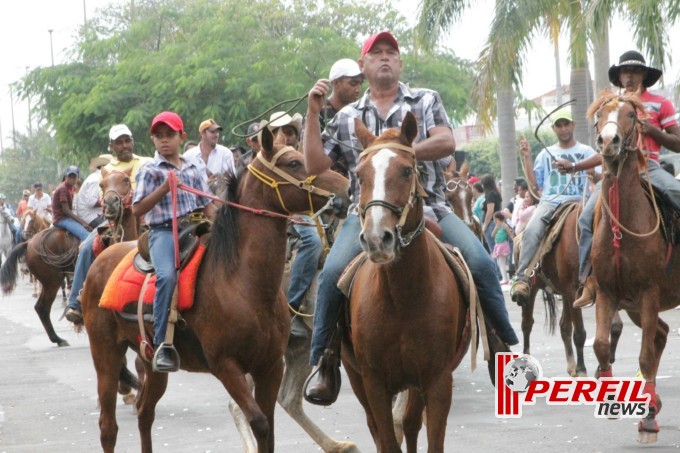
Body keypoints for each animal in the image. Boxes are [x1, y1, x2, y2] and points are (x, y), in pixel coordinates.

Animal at [0, 170, 138, 346]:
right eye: (102, 185)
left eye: (126, 180)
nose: (111, 202)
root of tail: (30, 242)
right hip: (51, 280)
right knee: (42, 307)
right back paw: (58, 338)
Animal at [81, 127, 350, 452]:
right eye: (294, 162)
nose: (346, 187)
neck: (241, 283)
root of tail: (101, 260)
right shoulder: (226, 366)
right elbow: (259, 422)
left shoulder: (271, 366)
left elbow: (270, 430)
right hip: (105, 353)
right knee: (108, 427)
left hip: (151, 362)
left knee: (145, 413)